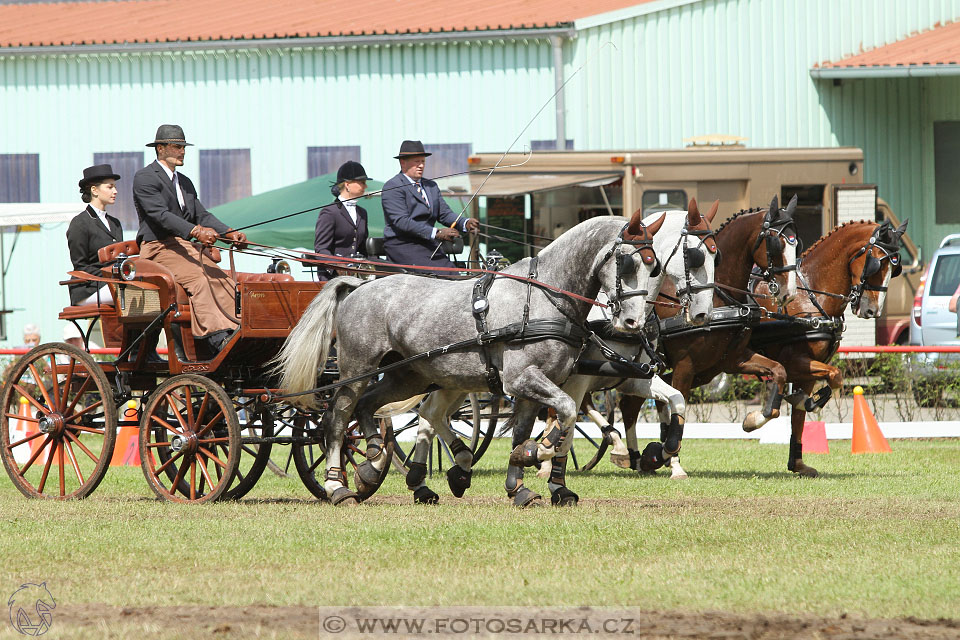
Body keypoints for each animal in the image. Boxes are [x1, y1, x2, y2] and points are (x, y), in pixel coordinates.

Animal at [274, 210, 672, 504]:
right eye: (626, 262)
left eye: (654, 266)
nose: (633, 322)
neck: (546, 298)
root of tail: (359, 285)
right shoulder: (522, 379)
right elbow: (568, 412)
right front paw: (538, 453)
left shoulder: (535, 386)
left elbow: (529, 429)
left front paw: (520, 483)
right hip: (357, 368)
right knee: (339, 418)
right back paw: (337, 485)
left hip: (409, 375)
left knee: (373, 406)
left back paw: (374, 461)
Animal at [620, 195, 800, 476]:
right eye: (775, 242)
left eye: (796, 243)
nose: (788, 292)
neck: (719, 299)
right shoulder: (685, 366)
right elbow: (678, 405)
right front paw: (672, 461)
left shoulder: (733, 360)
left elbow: (779, 371)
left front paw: (753, 420)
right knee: (629, 405)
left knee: (631, 404)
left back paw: (636, 458)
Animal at [752, 220, 908, 476]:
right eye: (876, 263)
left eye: (896, 269)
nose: (873, 310)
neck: (808, 296)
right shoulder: (794, 362)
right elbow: (835, 376)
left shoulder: (806, 372)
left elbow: (799, 417)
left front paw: (797, 463)